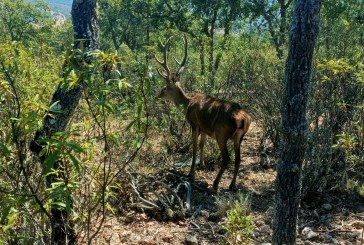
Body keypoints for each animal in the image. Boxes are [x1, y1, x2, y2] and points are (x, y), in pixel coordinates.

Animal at [155, 34, 252, 191]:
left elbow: (194, 147)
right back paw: (232, 185)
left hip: (221, 133)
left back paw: (215, 184)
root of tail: (243, 119)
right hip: (239, 136)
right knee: (238, 159)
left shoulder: (194, 124)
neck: (187, 103)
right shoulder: (205, 128)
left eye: (165, 87)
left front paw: (191, 173)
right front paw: (202, 165)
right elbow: (202, 145)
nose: (158, 95)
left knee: (227, 158)